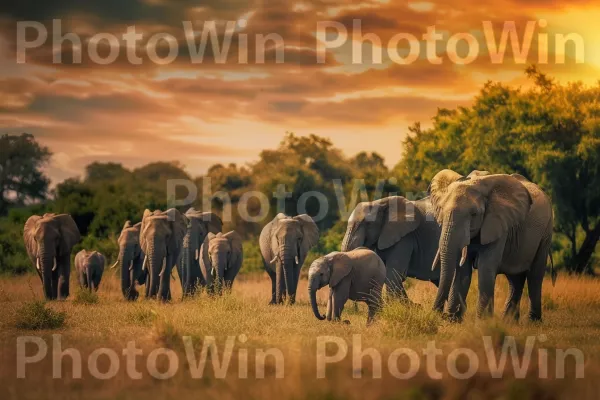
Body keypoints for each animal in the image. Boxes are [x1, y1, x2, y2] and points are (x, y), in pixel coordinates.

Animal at [432, 170, 552, 322]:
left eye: (474, 214)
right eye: (441, 210)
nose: (438, 314)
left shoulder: (498, 224)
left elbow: (486, 267)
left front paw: (483, 322)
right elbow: (462, 270)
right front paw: (452, 321)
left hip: (546, 233)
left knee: (535, 276)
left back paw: (532, 322)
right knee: (515, 279)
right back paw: (509, 321)